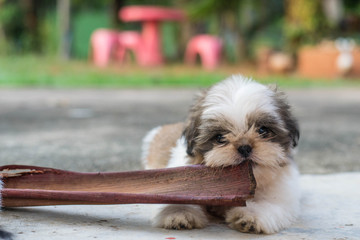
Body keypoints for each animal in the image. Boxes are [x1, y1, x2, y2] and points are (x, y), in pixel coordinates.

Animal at [142, 75, 300, 234]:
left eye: (262, 130)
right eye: (219, 138)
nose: (244, 147)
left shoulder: (281, 193)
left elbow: (270, 204)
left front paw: (251, 215)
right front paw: (179, 213)